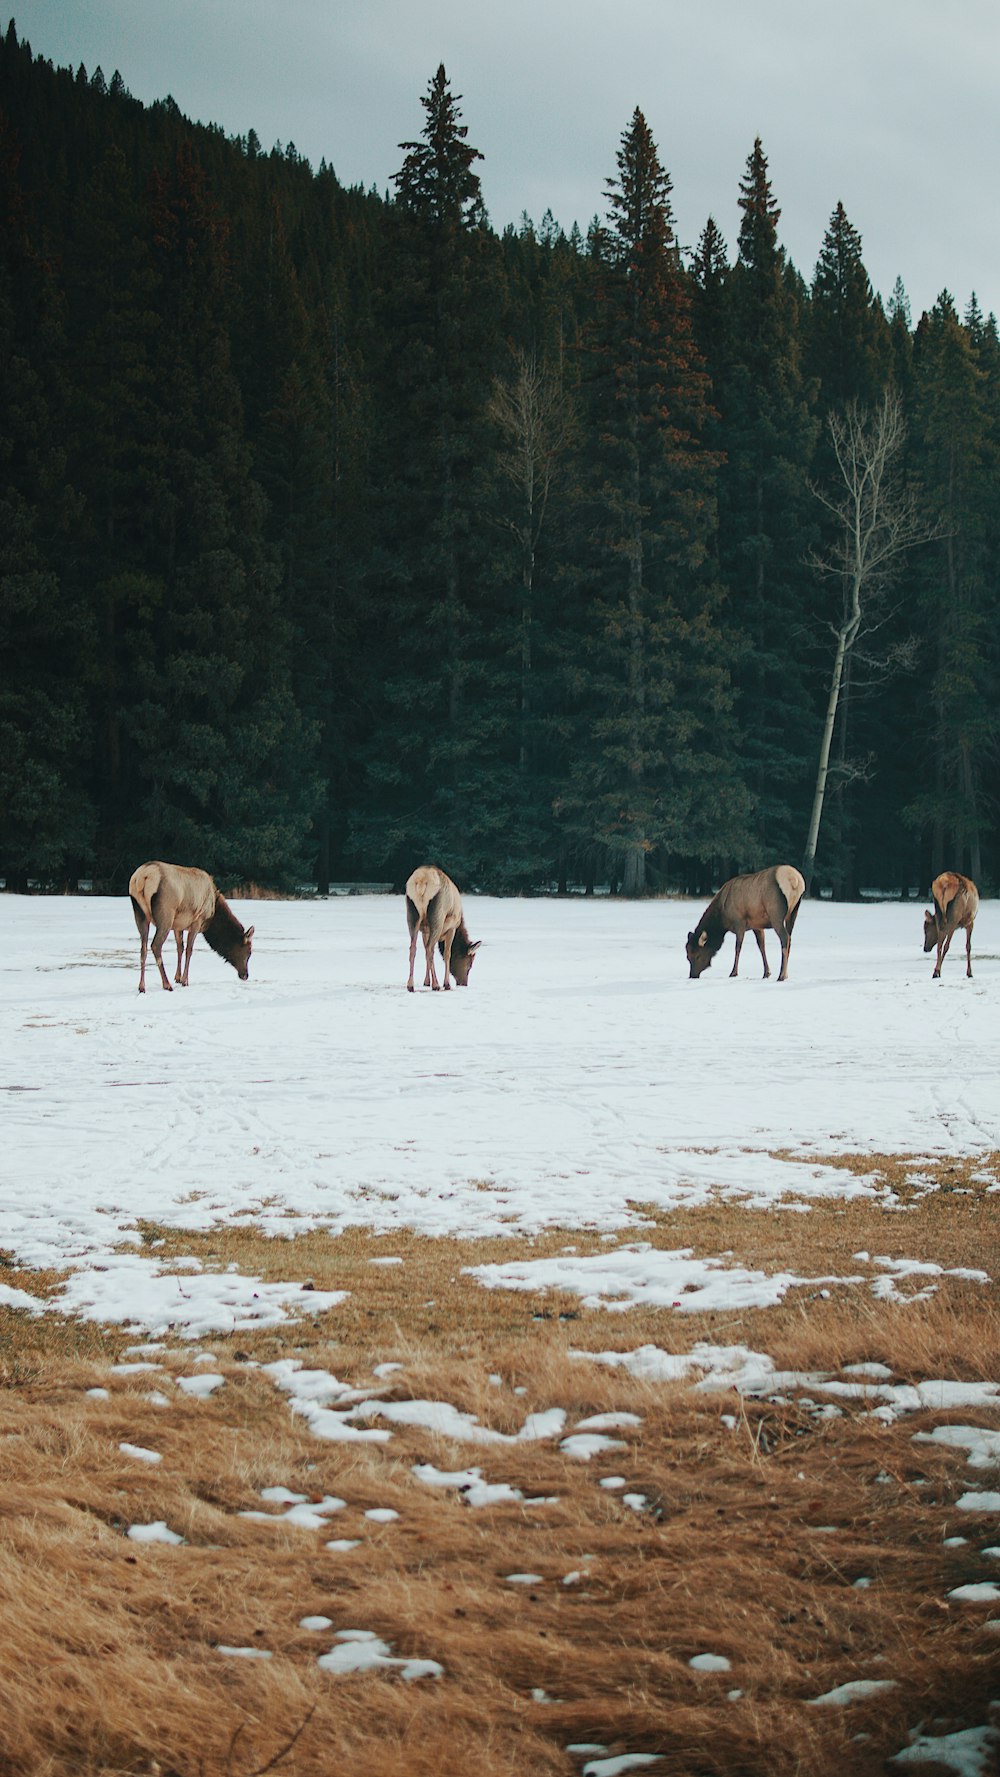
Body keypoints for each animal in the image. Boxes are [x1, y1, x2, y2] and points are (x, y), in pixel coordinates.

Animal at [128, 863, 255, 995]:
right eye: (249, 951)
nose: (245, 975)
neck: (213, 914)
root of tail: (142, 876)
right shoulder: (197, 921)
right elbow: (189, 950)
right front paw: (185, 981)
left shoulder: (178, 925)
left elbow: (180, 948)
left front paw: (178, 978)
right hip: (166, 914)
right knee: (155, 945)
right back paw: (166, 984)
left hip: (140, 913)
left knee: (143, 948)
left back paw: (142, 987)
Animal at [408, 867, 483, 995]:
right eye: (470, 964)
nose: (464, 983)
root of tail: (422, 880)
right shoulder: (451, 927)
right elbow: (447, 954)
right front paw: (446, 983)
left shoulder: (425, 931)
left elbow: (425, 950)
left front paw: (426, 981)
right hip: (438, 916)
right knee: (430, 949)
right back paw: (436, 984)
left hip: (412, 914)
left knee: (413, 948)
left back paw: (410, 985)